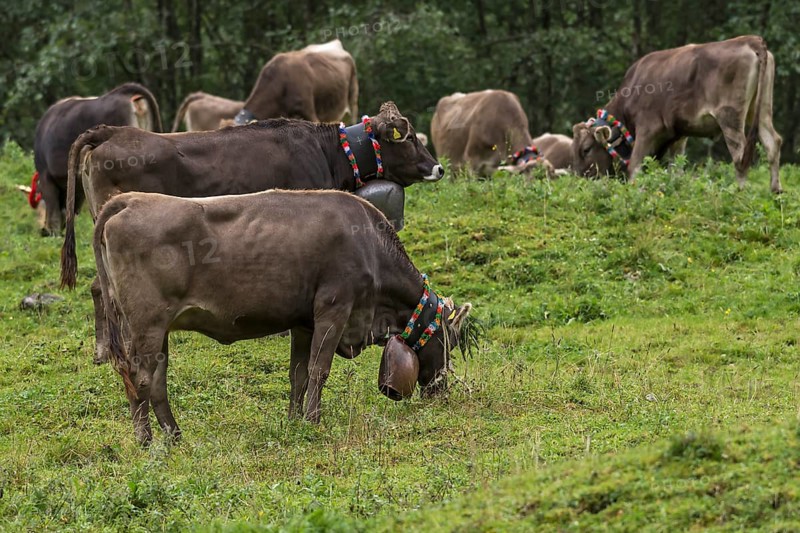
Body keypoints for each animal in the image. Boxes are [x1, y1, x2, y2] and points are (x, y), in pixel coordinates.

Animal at [60, 102, 444, 365]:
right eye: (409, 138)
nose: (438, 167)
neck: (325, 151)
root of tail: (112, 131)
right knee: (102, 288)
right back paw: (109, 348)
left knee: (97, 286)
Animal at [93, 189, 473, 444]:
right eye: (449, 341)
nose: (441, 391)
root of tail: (131, 199)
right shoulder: (334, 307)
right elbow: (320, 370)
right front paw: (314, 421)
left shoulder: (304, 322)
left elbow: (299, 375)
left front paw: (294, 420)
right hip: (146, 323)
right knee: (139, 377)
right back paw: (145, 441)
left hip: (158, 330)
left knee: (157, 380)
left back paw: (174, 435)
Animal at [572, 35, 782, 193]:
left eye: (586, 149)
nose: (579, 182)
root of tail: (751, 39)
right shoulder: (678, 134)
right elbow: (676, 169)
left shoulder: (648, 128)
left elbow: (635, 167)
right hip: (762, 107)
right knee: (772, 141)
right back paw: (775, 190)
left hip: (730, 115)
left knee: (740, 154)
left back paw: (739, 192)